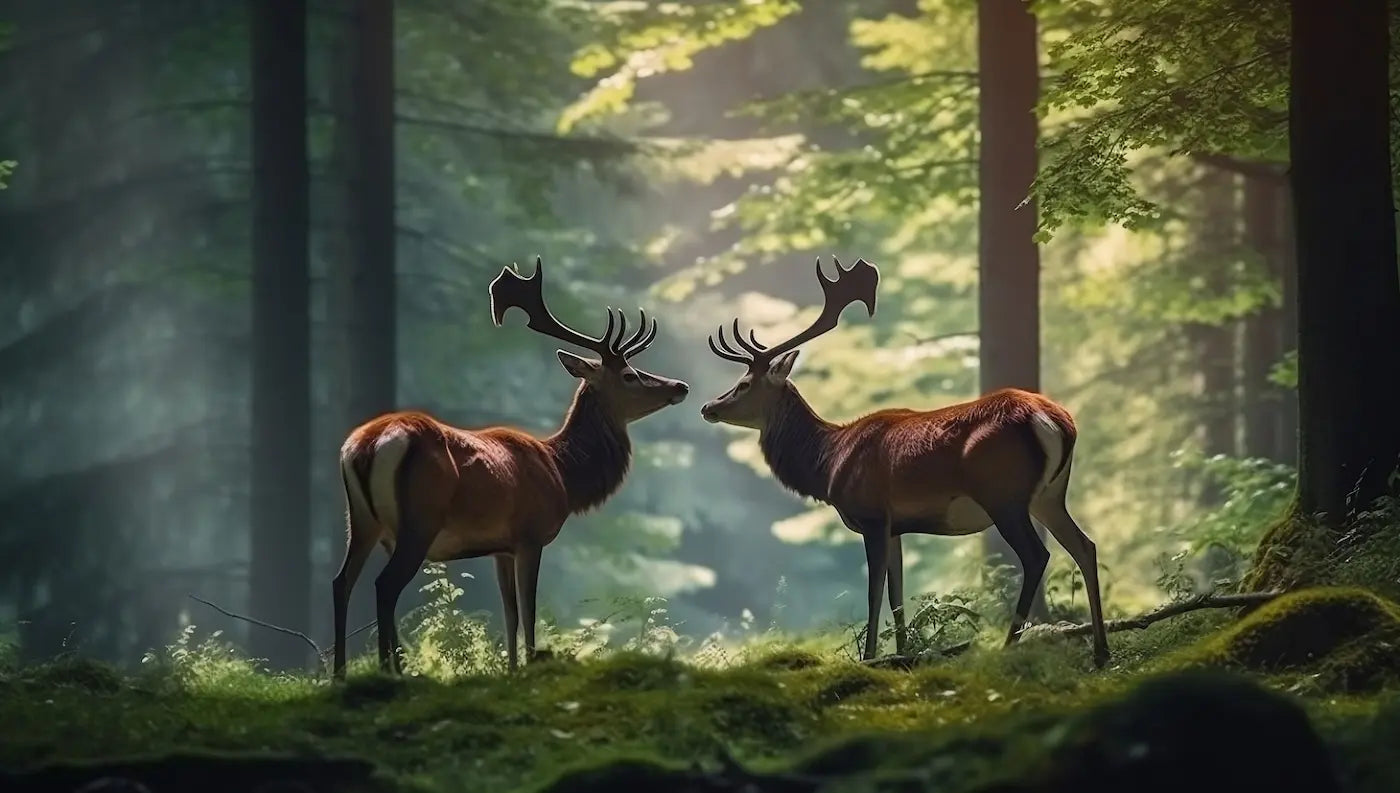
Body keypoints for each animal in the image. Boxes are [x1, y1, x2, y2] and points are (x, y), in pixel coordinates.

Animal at [332, 257, 690, 678]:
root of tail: (366, 444)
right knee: (385, 586)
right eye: (630, 375)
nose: (679, 386)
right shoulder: (530, 535)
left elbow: (510, 614)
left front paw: (511, 669)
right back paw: (394, 672)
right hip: (418, 520)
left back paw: (339, 674)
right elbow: (529, 611)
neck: (564, 475)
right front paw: (531, 665)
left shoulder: (499, 547)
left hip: (361, 520)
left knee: (342, 582)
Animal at [699, 257, 1110, 668]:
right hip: (1049, 495)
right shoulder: (895, 525)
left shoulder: (871, 515)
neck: (829, 464)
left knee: (1037, 556)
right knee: (1085, 546)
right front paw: (903, 654)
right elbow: (897, 596)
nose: (708, 407)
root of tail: (1055, 420)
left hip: (1003, 494)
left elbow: (874, 593)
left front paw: (869, 658)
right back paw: (1101, 651)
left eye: (744, 384)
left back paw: (1010, 645)